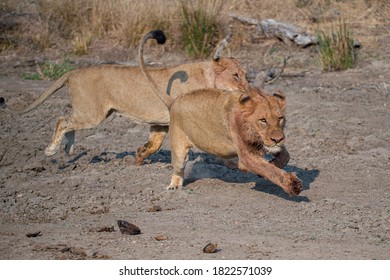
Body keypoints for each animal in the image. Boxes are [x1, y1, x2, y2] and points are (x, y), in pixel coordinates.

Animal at [139, 40, 304, 197]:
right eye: (263, 120)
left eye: (280, 118)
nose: (278, 139)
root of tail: (174, 100)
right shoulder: (247, 157)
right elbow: (269, 170)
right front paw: (292, 185)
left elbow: (285, 156)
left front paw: (275, 163)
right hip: (179, 147)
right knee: (178, 168)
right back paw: (174, 185)